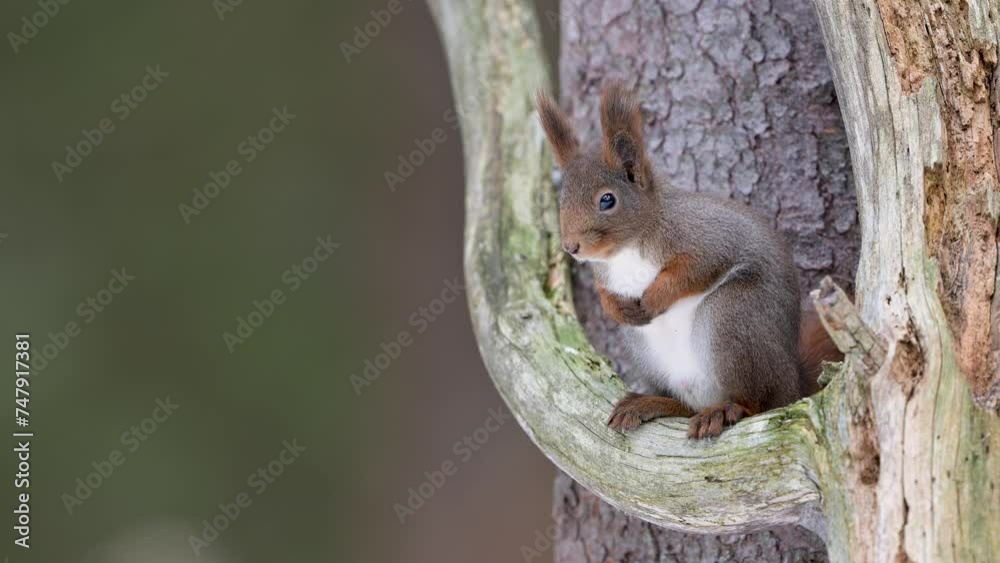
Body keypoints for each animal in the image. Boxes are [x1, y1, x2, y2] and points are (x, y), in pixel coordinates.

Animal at [536, 84, 841, 439]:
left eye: (607, 200)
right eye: (562, 200)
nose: (571, 247)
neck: (628, 248)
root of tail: (793, 382)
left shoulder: (705, 239)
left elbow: (692, 271)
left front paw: (654, 298)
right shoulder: (605, 273)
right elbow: (604, 292)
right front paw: (614, 307)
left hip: (733, 315)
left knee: (759, 402)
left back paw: (726, 409)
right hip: (645, 349)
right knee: (687, 406)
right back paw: (650, 403)